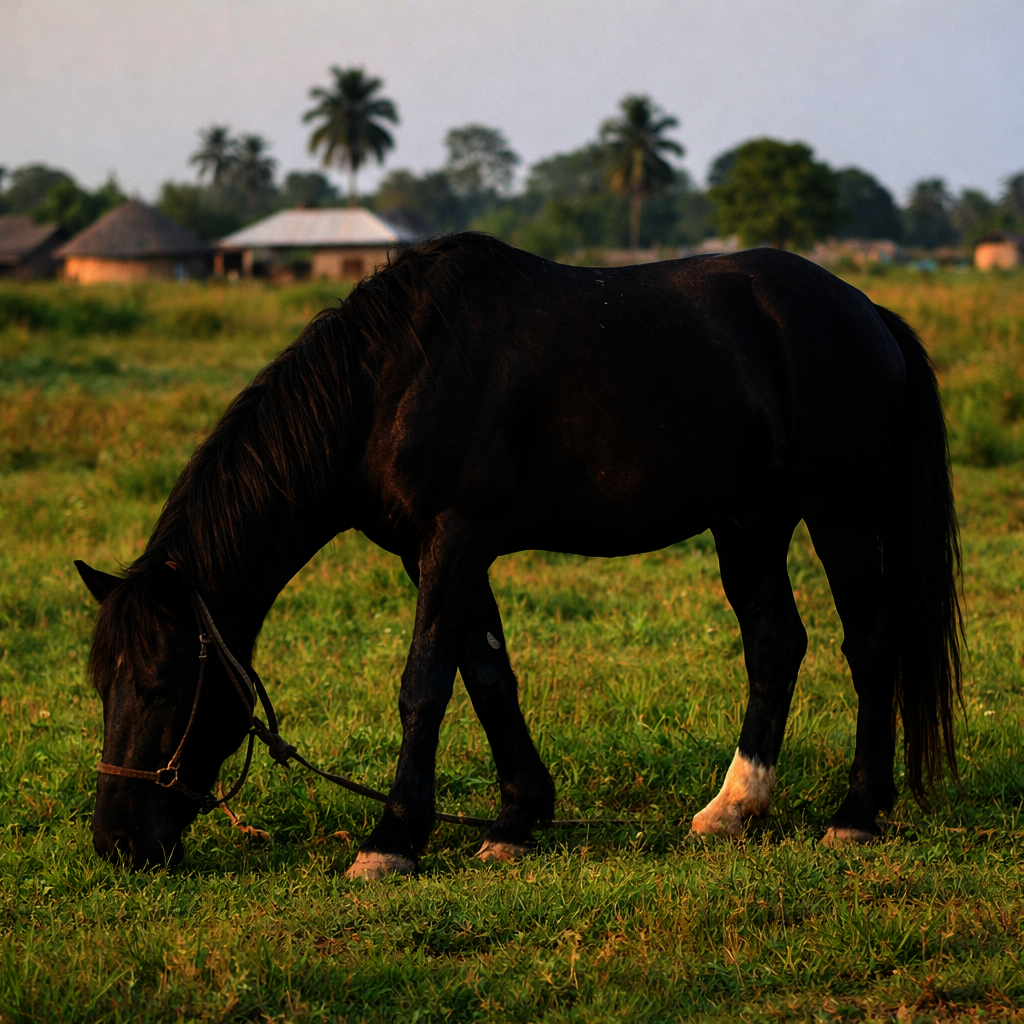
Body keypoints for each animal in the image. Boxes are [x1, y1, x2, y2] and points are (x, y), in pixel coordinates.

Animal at [75, 233, 962, 878]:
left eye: (161, 686)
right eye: (101, 685)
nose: (118, 844)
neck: (392, 380)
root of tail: (865, 309)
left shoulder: (455, 536)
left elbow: (426, 683)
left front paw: (391, 840)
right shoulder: (433, 551)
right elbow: (487, 675)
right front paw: (516, 818)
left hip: (838, 512)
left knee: (870, 641)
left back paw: (856, 813)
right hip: (749, 523)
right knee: (775, 644)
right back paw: (733, 809)